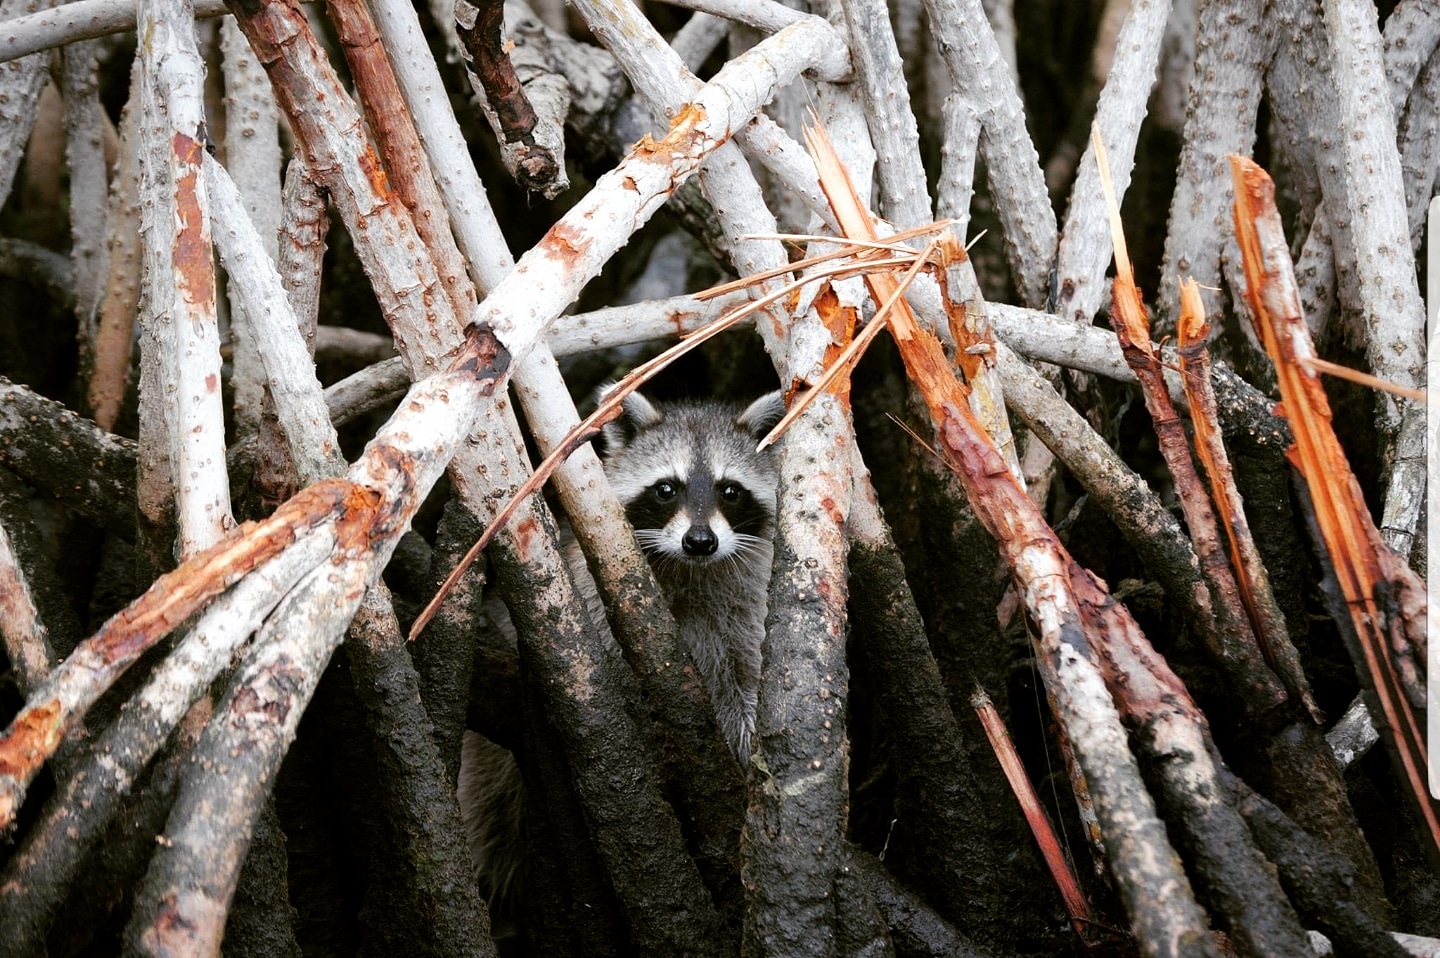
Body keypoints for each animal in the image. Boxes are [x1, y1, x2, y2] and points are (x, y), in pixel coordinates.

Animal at [455, 386, 783, 921]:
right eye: (666, 489)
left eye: (729, 490)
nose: (700, 541)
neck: (690, 570)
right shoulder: (592, 599)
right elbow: (613, 677)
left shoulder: (745, 606)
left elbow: (745, 683)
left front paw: (746, 753)